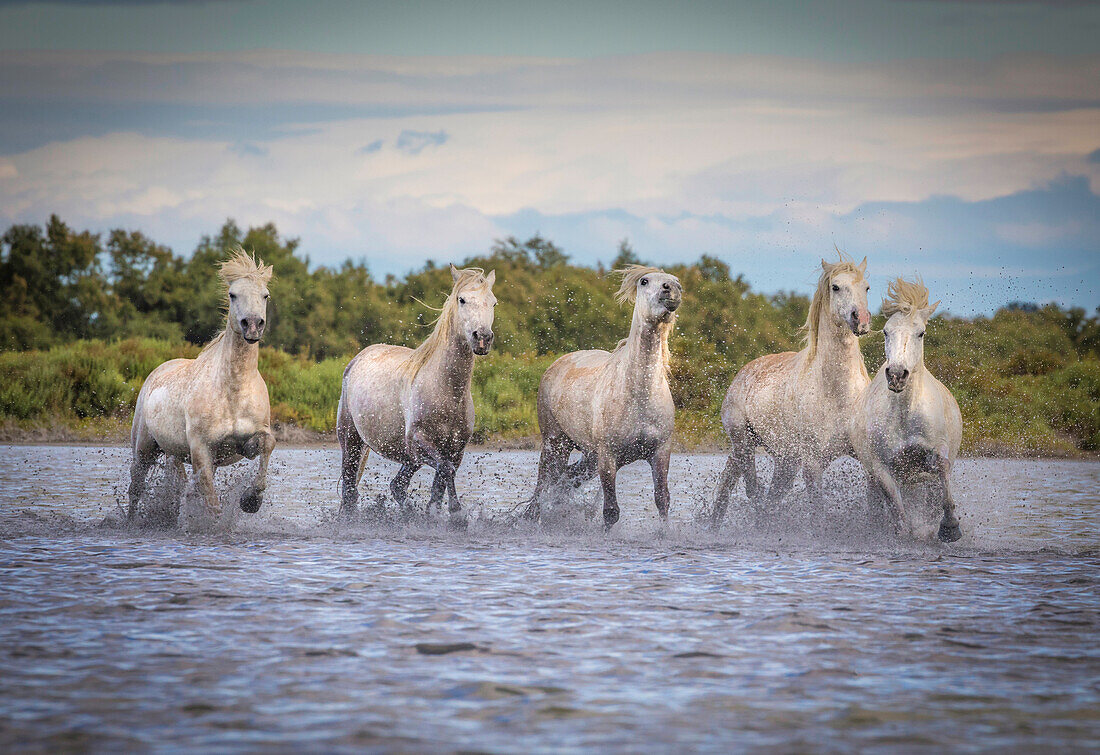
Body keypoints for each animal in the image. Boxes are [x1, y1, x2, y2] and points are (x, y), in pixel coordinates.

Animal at [127, 248, 275, 526]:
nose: (252, 325)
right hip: (143, 448)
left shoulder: (247, 441)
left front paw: (251, 501)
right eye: (232, 294)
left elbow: (267, 446)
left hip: (174, 453)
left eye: (265, 295)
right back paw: (129, 522)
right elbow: (212, 502)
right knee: (136, 487)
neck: (232, 391)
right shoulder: (201, 449)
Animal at [336, 263, 501, 517]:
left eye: (493, 302)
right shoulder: (419, 444)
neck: (445, 391)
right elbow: (446, 470)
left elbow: (441, 482)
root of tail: (358, 358)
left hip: (406, 458)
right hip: (351, 440)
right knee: (350, 490)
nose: (482, 338)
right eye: (462, 299)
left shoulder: (455, 450)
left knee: (397, 486)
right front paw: (457, 514)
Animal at [521, 266, 677, 532]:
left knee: (566, 478)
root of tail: (556, 365)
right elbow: (611, 511)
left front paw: (666, 534)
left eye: (677, 281)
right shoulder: (608, 455)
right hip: (555, 443)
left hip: (588, 457)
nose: (672, 291)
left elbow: (662, 500)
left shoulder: (660, 452)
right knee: (544, 483)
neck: (639, 395)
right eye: (645, 281)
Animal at [708, 254, 871, 526]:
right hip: (744, 443)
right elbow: (818, 511)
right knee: (746, 490)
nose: (861, 320)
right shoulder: (812, 463)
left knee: (748, 492)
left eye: (866, 287)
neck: (837, 392)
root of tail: (743, 373)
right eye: (836, 287)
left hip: (783, 460)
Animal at [849, 278, 963, 543]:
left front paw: (950, 528)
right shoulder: (881, 468)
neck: (905, 414)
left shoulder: (936, 451)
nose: (897, 374)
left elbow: (943, 473)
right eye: (885, 331)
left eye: (920, 333)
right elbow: (898, 511)